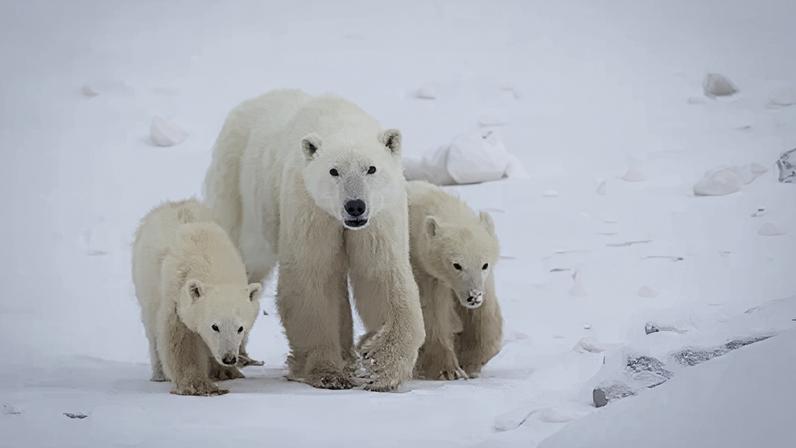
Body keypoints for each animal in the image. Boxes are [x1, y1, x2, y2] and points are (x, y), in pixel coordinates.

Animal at [132, 199, 262, 396]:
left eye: (241, 328)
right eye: (215, 326)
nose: (229, 358)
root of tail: (172, 204)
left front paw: (226, 372)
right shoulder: (177, 295)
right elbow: (181, 338)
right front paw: (197, 385)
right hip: (145, 283)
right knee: (152, 328)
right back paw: (160, 374)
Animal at [203, 89, 425, 391]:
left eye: (371, 168)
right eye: (333, 171)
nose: (355, 206)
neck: (341, 122)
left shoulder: (379, 217)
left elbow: (380, 275)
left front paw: (381, 369)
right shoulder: (310, 207)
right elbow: (311, 279)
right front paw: (328, 373)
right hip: (238, 191)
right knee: (243, 259)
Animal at [406, 180, 503, 380]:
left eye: (484, 264)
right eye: (457, 265)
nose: (473, 296)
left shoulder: (484, 282)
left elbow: (483, 315)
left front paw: (471, 360)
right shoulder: (424, 269)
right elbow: (432, 313)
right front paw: (449, 370)